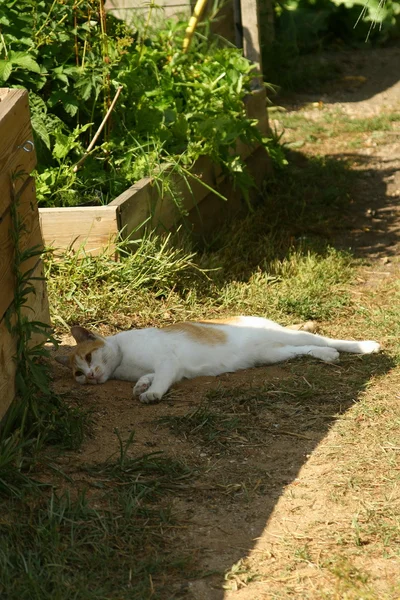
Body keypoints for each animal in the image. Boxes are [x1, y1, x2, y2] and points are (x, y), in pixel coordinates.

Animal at [54, 316, 380, 406]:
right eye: (78, 374)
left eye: (89, 357)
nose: (90, 376)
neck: (123, 363)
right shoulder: (162, 369)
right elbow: (147, 377)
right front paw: (140, 386)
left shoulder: (167, 362)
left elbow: (160, 379)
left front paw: (151, 393)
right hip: (273, 354)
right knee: (307, 349)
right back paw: (327, 357)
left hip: (288, 337)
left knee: (321, 338)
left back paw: (365, 346)